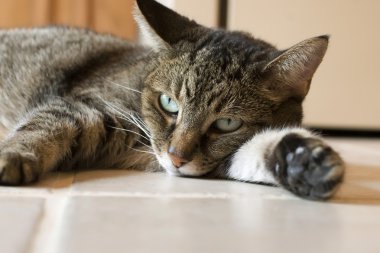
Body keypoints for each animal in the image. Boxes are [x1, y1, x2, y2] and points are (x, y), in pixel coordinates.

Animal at [0, 0, 344, 201]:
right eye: (168, 103)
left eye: (227, 123)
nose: (177, 156)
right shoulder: (85, 106)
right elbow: (43, 126)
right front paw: (12, 156)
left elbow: (251, 153)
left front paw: (304, 162)